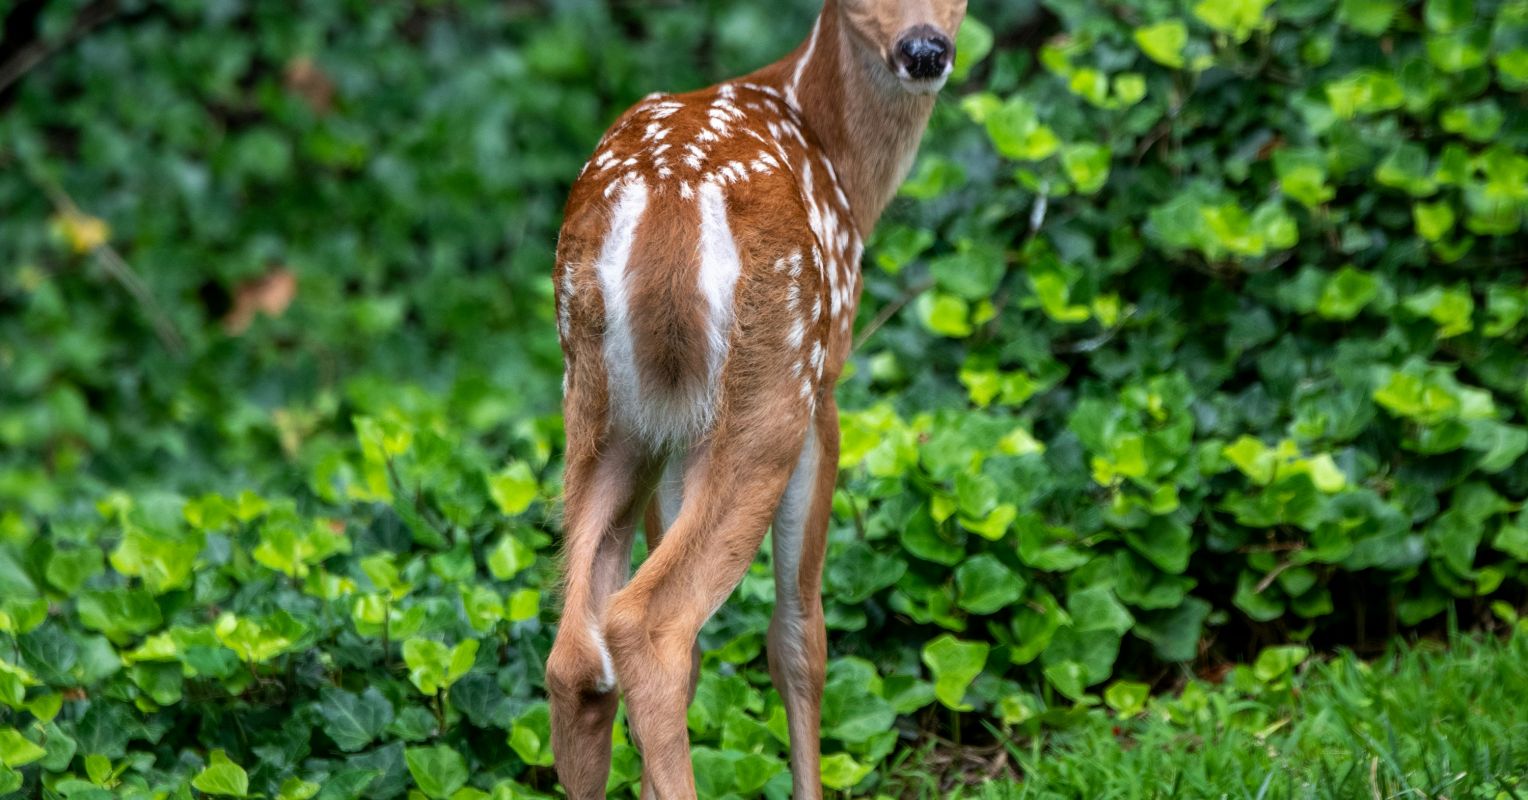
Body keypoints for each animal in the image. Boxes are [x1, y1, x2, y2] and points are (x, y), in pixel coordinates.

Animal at [546, 0, 967, 796]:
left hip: (601, 408)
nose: (925, 50)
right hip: (772, 384)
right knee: (651, 625)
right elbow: (799, 636)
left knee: (578, 659)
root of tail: (668, 202)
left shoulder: (674, 429)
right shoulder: (825, 387)